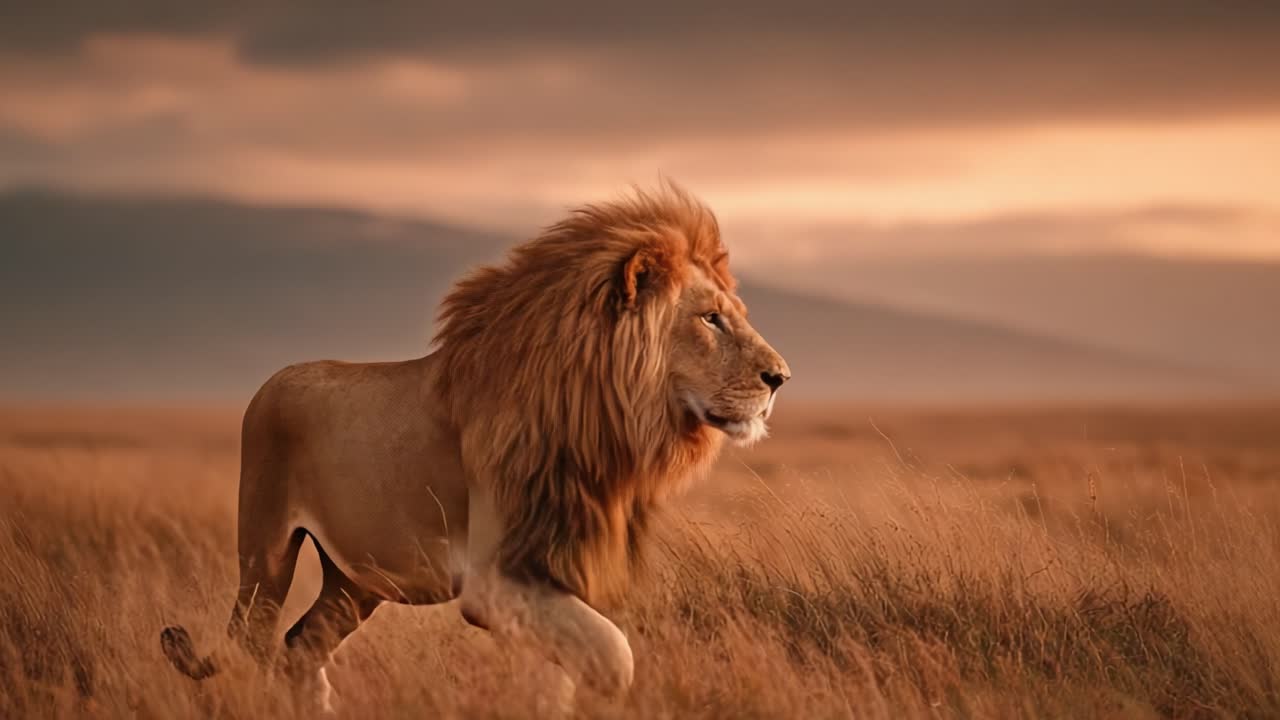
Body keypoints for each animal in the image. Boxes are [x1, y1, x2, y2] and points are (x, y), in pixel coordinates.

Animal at [160, 183, 790, 711]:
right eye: (711, 319)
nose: (781, 378)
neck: (599, 421)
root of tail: (273, 379)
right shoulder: (495, 581)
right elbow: (613, 656)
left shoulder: (561, 569)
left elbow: (566, 674)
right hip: (264, 546)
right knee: (253, 639)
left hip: (357, 579)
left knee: (300, 646)